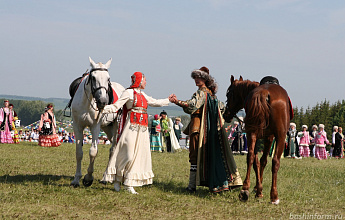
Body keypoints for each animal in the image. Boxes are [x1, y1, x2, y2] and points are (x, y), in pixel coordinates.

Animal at [69, 57, 124, 187]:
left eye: (108, 78)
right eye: (93, 77)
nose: (103, 101)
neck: (87, 102)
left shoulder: (95, 127)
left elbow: (93, 152)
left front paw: (88, 178)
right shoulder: (77, 126)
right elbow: (79, 153)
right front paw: (76, 179)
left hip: (116, 126)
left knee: (113, 149)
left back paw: (106, 177)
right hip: (107, 128)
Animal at [223, 75, 292, 205]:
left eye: (228, 94)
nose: (226, 115)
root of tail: (264, 93)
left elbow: (256, 161)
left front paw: (257, 188)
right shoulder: (269, 137)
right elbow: (263, 161)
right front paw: (258, 190)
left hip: (252, 133)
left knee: (250, 156)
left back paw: (245, 190)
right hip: (279, 136)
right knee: (275, 161)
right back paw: (274, 196)